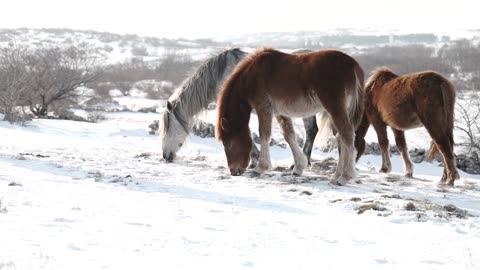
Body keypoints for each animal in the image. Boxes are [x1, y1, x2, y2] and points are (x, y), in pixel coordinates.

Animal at [159, 48, 320, 167]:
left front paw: (254, 160)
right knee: (312, 130)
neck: (221, 75)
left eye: (167, 127)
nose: (165, 156)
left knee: (311, 131)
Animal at [215, 47, 364, 185]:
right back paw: (336, 176)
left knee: (346, 135)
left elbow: (264, 134)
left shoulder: (263, 107)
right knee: (341, 137)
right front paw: (299, 167)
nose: (234, 171)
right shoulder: (280, 112)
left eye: (227, 143)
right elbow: (289, 135)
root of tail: (353, 65)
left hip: (335, 108)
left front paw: (260, 168)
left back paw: (345, 177)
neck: (251, 77)